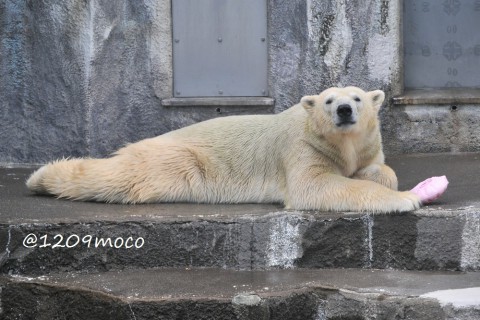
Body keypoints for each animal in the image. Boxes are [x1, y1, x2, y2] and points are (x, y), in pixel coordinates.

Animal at [28, 87, 422, 212]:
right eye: (328, 100)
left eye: (356, 98)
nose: (343, 110)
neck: (340, 144)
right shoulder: (302, 147)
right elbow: (315, 186)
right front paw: (407, 198)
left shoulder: (366, 145)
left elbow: (378, 168)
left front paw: (382, 178)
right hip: (175, 160)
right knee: (124, 177)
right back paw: (41, 176)